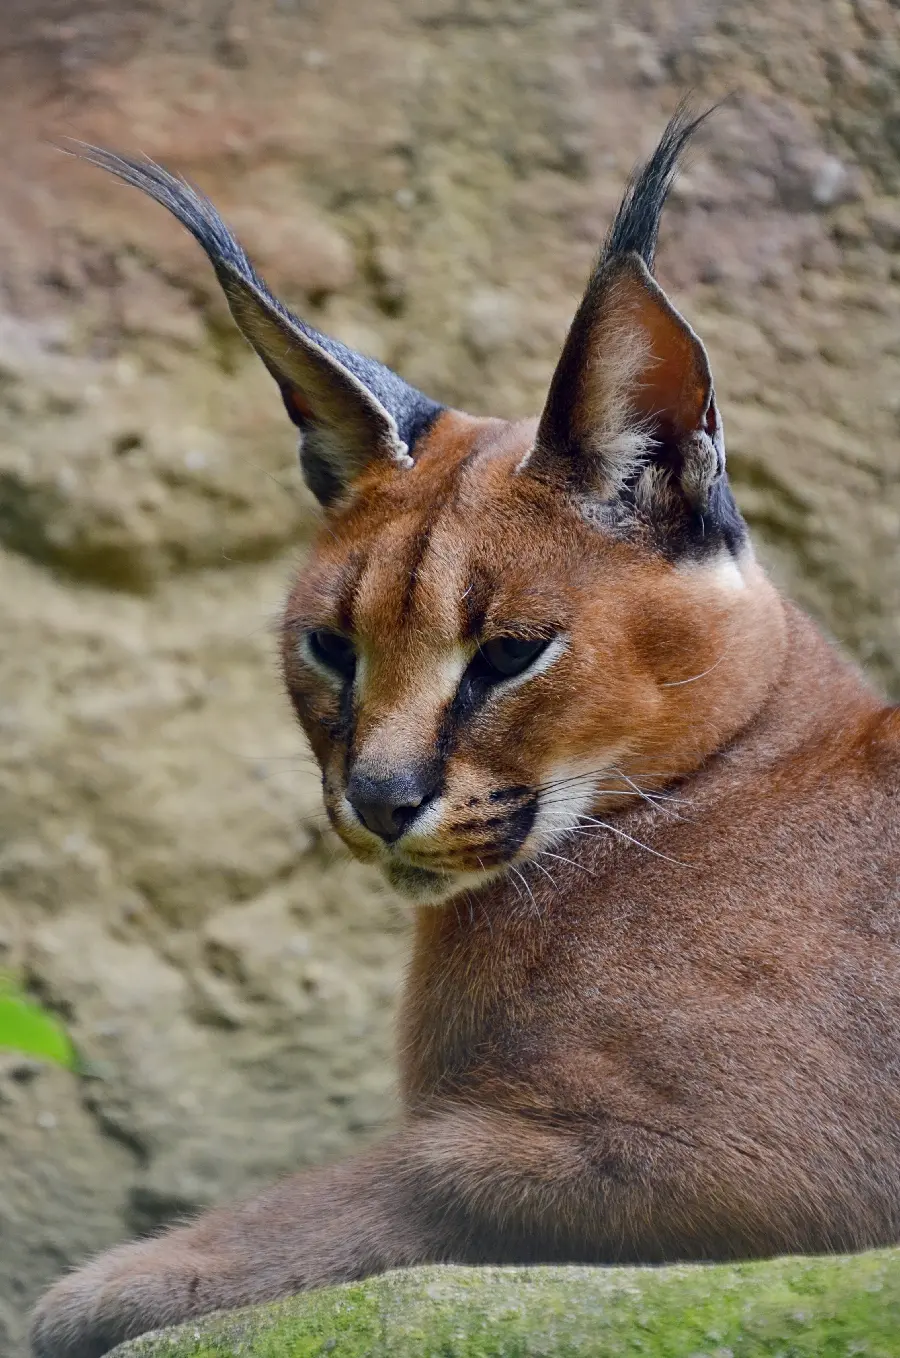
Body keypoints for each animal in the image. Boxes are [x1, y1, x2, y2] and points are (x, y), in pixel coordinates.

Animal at [29, 108, 900, 1358]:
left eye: (509, 654)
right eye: (330, 646)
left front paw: (114, 1283)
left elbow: (434, 1166)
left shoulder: (772, 1151)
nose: (380, 797)